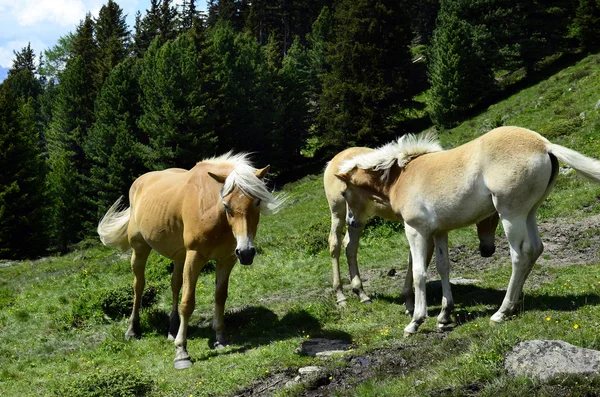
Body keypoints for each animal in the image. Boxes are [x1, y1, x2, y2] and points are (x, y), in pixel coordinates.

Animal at [98, 152, 284, 368]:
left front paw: (220, 338)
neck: (212, 212)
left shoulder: (226, 258)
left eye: (257, 202)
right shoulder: (195, 256)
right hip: (140, 249)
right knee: (139, 285)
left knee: (175, 284)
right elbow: (187, 303)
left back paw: (172, 328)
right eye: (227, 206)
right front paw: (181, 352)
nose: (246, 252)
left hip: (179, 256)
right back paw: (133, 330)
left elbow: (220, 296)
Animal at [326, 145, 500, 306]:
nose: (487, 250)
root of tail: (334, 160)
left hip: (360, 219)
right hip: (340, 214)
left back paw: (361, 293)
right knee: (335, 244)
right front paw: (411, 300)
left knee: (350, 246)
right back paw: (341, 296)